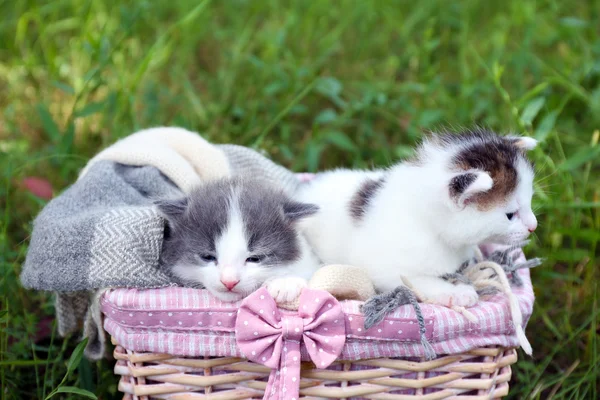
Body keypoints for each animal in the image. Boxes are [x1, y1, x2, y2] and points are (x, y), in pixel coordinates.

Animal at [298, 130, 536, 308]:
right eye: (510, 215)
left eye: (529, 201)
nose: (533, 226)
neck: (429, 224)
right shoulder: (382, 267)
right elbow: (416, 279)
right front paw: (455, 292)